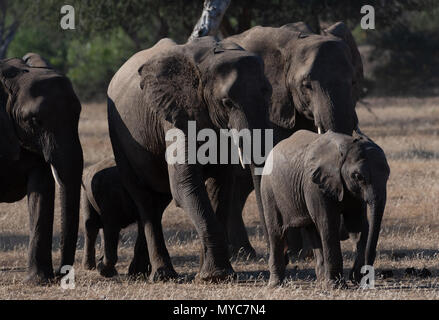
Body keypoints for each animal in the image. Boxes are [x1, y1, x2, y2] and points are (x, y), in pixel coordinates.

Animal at [106, 35, 272, 282]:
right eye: (227, 102)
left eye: (268, 93)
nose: (271, 259)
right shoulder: (176, 115)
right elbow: (186, 185)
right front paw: (214, 277)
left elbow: (220, 186)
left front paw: (213, 273)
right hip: (118, 134)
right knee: (145, 200)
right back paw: (162, 275)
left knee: (159, 200)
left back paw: (140, 271)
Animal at [218, 21, 366, 258]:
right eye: (306, 85)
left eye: (353, 82)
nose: (344, 232)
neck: (295, 42)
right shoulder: (271, 105)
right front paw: (298, 253)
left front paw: (307, 251)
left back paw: (243, 251)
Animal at [260, 130, 390, 288]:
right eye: (358, 176)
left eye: (388, 175)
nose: (364, 276)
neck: (345, 148)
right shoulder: (316, 186)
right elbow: (328, 224)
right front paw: (337, 286)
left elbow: (357, 226)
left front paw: (354, 280)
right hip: (269, 189)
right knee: (277, 231)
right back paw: (276, 284)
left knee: (313, 230)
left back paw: (322, 280)